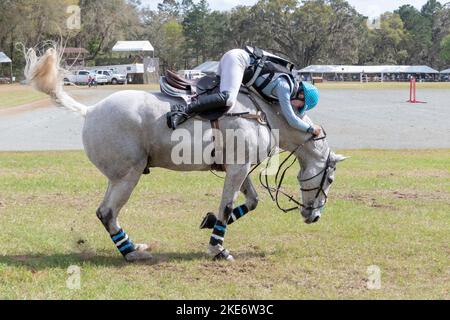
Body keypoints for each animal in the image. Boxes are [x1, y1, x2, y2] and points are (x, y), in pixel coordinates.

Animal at [23, 48, 348, 262]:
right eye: (330, 179)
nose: (314, 216)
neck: (267, 113)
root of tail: (90, 111)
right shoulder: (238, 167)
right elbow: (227, 206)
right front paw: (218, 249)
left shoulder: (238, 167)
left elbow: (250, 202)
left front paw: (209, 222)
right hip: (128, 175)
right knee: (107, 212)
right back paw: (132, 253)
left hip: (118, 178)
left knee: (105, 212)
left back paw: (133, 248)